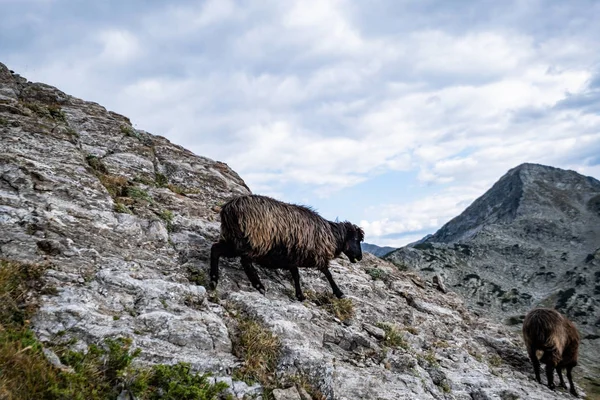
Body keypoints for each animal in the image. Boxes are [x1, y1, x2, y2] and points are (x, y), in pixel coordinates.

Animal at [209, 194, 364, 300]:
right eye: (356, 239)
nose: (360, 257)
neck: (331, 235)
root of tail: (230, 208)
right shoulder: (318, 255)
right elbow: (328, 274)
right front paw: (339, 293)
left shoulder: (292, 257)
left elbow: (296, 275)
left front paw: (300, 295)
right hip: (254, 241)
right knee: (245, 261)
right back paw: (259, 286)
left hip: (234, 240)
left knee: (215, 249)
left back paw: (213, 280)